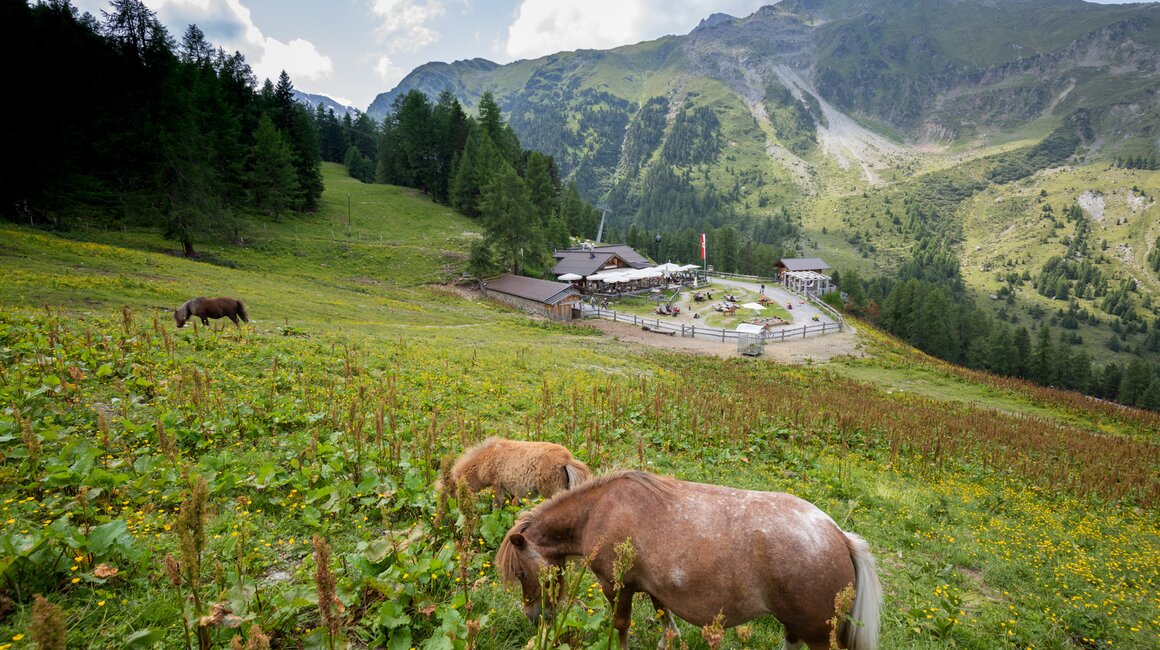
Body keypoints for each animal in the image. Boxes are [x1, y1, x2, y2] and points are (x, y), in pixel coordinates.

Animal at [441, 437, 591, 508]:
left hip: (553, 491)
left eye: (451, 489)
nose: (457, 505)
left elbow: (496, 504)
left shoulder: (497, 485)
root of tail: (567, 460)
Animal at [497, 471, 881, 650]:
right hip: (796, 625)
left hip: (818, 634)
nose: (535, 617)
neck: (600, 510)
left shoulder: (616, 586)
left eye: (522, 574)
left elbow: (621, 626)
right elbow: (664, 616)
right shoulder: (654, 586)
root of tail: (840, 536)